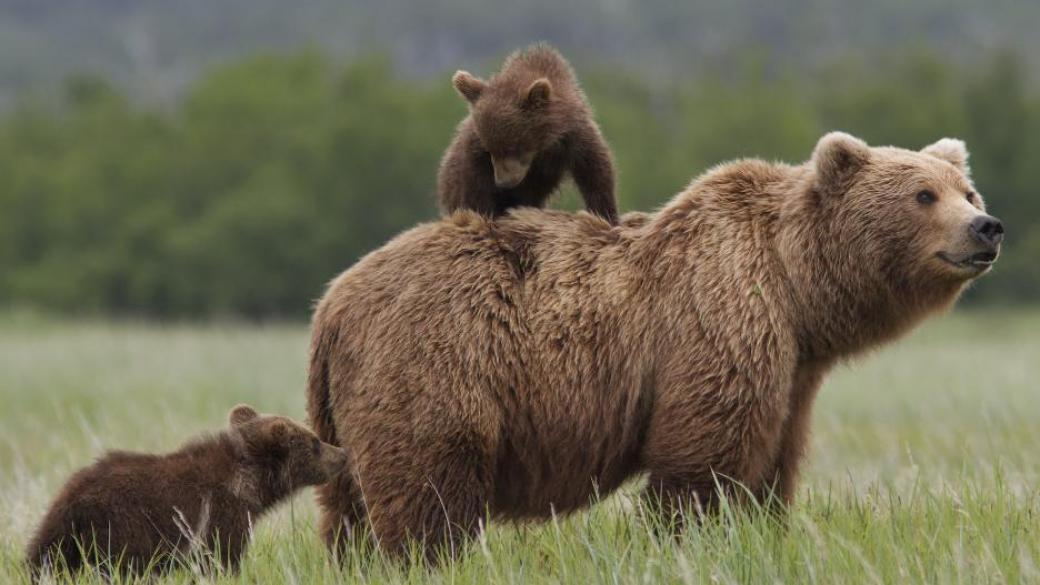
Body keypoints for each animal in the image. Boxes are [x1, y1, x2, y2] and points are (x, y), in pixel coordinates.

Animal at [305, 132, 998, 553]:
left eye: (967, 191)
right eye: (923, 194)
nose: (985, 227)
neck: (796, 289)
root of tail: (332, 302)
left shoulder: (793, 371)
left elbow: (773, 462)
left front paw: (763, 530)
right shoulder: (717, 320)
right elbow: (703, 461)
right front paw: (690, 538)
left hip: (349, 405)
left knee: (347, 507)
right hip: (436, 361)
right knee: (429, 493)